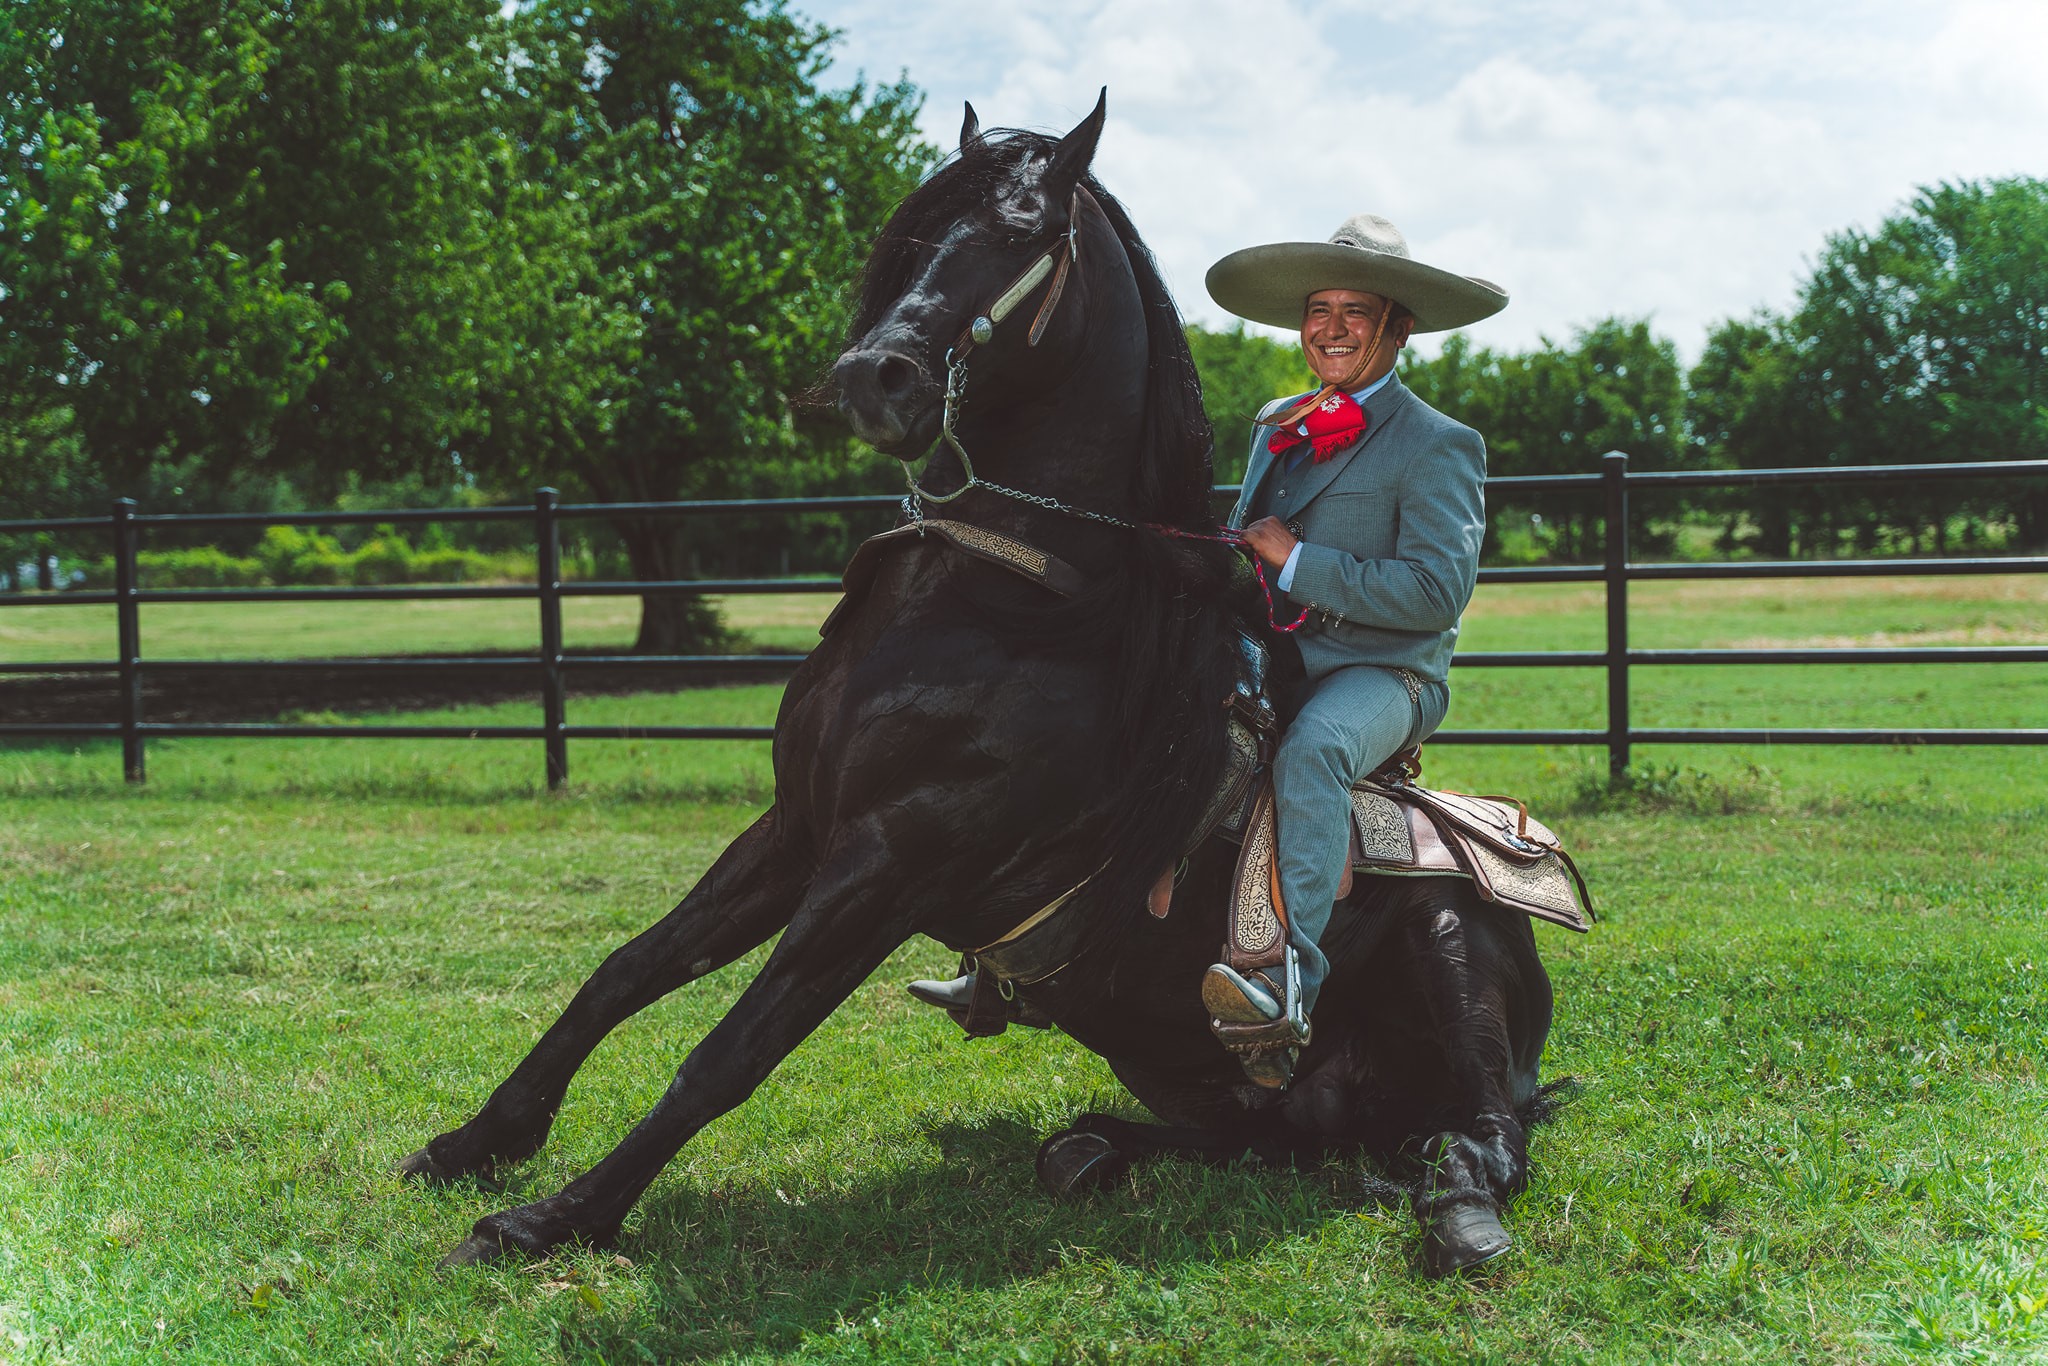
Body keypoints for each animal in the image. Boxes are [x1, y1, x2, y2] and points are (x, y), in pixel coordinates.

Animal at [399, 98, 1548, 1286]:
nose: (875, 375)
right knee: (1255, 1134)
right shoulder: (798, 827)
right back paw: (1093, 1148)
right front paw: (479, 1142)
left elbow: (729, 1052)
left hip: (1446, 942)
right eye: (915, 236)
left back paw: (1460, 1214)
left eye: (1021, 229)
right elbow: (628, 969)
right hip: (1213, 1081)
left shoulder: (891, 863)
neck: (1008, 603)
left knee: (1484, 1137)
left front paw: (553, 1218)